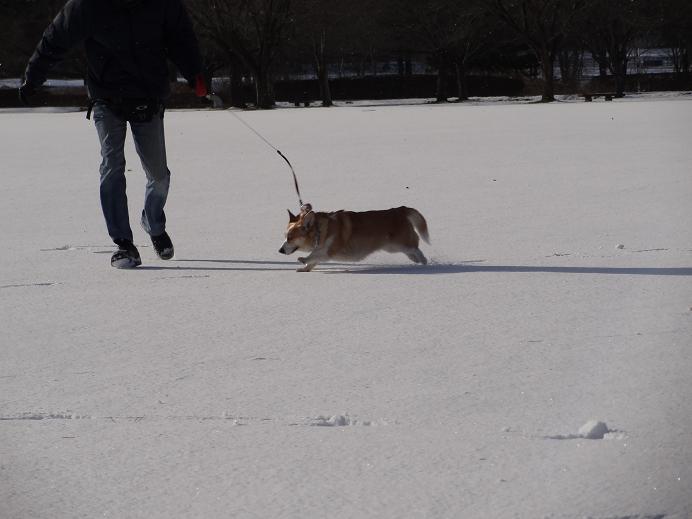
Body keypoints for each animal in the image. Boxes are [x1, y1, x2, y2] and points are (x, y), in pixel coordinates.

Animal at [278, 206, 428, 274]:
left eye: (290, 238)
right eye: (285, 236)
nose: (280, 250)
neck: (319, 231)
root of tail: (400, 210)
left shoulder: (329, 250)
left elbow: (314, 255)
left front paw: (303, 259)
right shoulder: (322, 251)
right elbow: (314, 260)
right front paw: (305, 269)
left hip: (399, 244)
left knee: (416, 249)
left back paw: (424, 263)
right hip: (391, 247)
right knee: (412, 250)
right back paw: (415, 260)